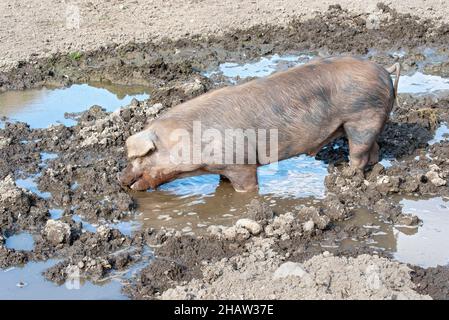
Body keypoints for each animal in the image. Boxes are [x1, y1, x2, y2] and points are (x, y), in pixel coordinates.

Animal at [119, 56, 400, 192]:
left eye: (141, 157)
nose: (121, 179)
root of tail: (383, 70)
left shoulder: (241, 163)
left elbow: (247, 187)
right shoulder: (223, 167)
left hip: (362, 117)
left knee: (359, 153)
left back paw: (347, 175)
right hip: (367, 121)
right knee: (374, 149)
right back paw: (373, 169)